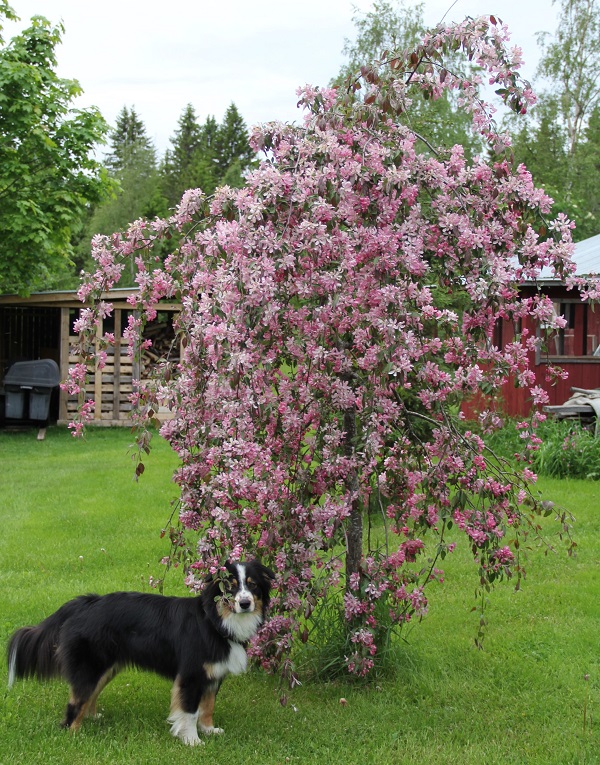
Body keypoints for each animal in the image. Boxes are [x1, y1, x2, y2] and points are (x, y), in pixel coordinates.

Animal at [6, 560, 274, 744]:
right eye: (229, 587)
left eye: (252, 585)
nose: (245, 603)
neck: (215, 621)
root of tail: (83, 602)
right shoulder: (190, 675)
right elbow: (189, 711)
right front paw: (192, 740)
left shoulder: (213, 675)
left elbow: (207, 707)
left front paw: (209, 730)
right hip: (90, 666)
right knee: (75, 702)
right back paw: (73, 734)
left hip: (107, 667)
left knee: (89, 696)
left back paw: (92, 718)